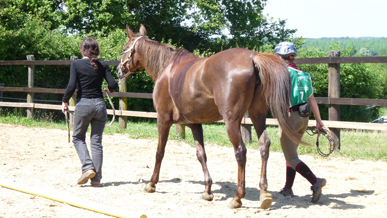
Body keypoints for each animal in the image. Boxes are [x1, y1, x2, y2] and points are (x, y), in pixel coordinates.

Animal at [116, 24, 304, 209]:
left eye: (125, 48)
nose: (118, 70)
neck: (167, 68)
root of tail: (252, 57)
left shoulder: (163, 119)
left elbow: (159, 152)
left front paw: (151, 183)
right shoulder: (194, 124)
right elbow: (201, 154)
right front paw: (207, 191)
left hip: (231, 122)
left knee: (241, 151)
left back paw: (237, 197)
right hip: (258, 116)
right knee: (264, 145)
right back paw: (264, 193)